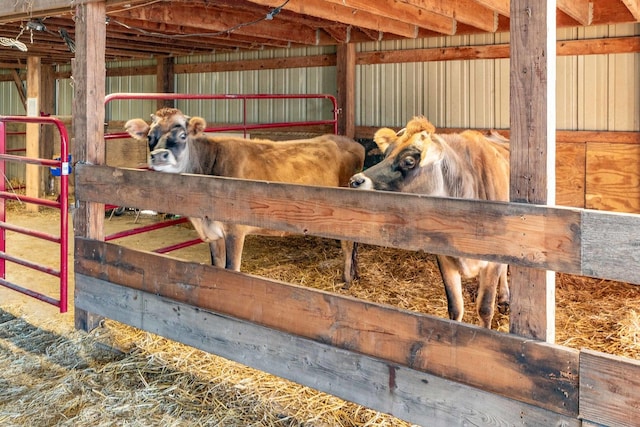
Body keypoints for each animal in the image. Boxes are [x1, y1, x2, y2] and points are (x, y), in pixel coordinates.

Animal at [125, 108, 364, 286]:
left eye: (183, 135)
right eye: (149, 137)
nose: (159, 156)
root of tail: (351, 142)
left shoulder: (235, 231)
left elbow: (232, 269)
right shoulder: (214, 234)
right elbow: (217, 267)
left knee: (348, 245)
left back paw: (346, 280)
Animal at [350, 115, 510, 330]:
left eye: (409, 161)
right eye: (386, 154)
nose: (355, 180)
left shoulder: (493, 261)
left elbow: (485, 309)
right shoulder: (444, 257)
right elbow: (455, 308)